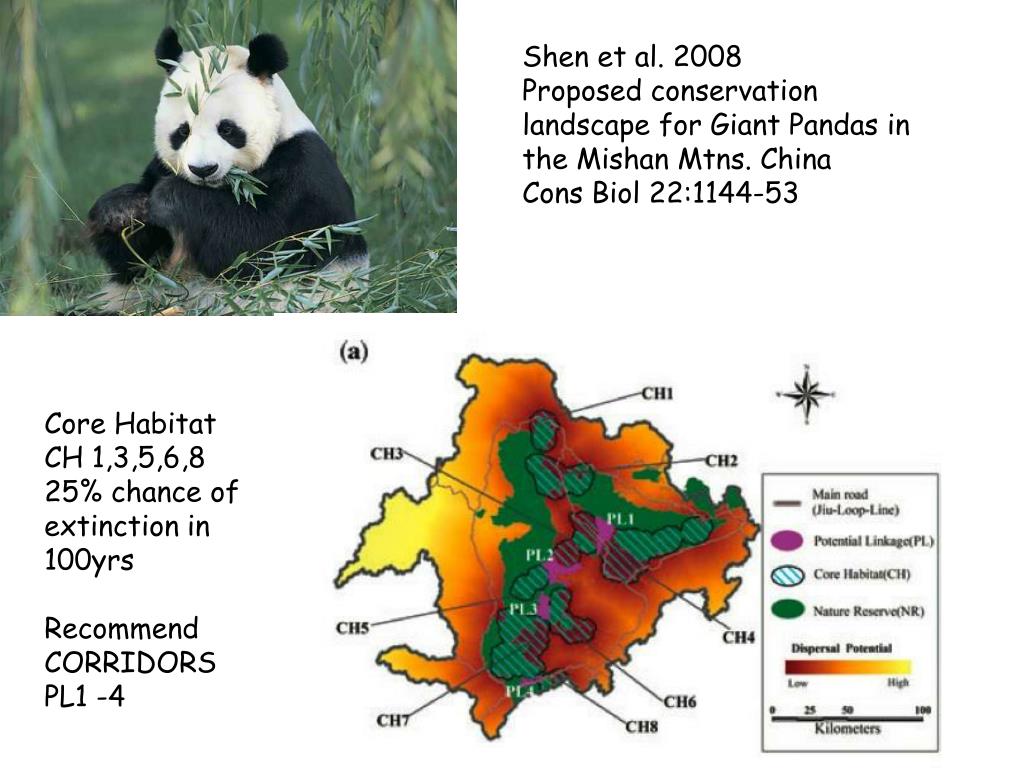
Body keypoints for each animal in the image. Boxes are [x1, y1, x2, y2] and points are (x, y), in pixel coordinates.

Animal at [87, 27, 367, 313]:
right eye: (182, 131)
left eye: (227, 129)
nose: (203, 169)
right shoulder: (159, 168)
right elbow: (137, 263)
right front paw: (122, 209)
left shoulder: (304, 173)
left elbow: (259, 246)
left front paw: (170, 198)